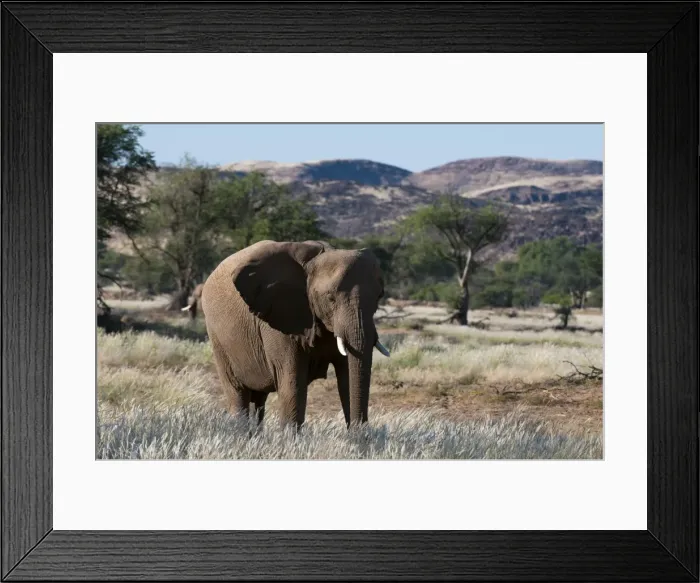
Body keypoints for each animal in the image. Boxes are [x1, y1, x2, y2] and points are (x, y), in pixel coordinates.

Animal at [200, 239, 391, 430]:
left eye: (379, 296)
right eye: (330, 298)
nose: (361, 432)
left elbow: (347, 378)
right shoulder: (280, 318)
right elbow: (292, 382)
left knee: (259, 400)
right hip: (217, 338)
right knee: (238, 394)